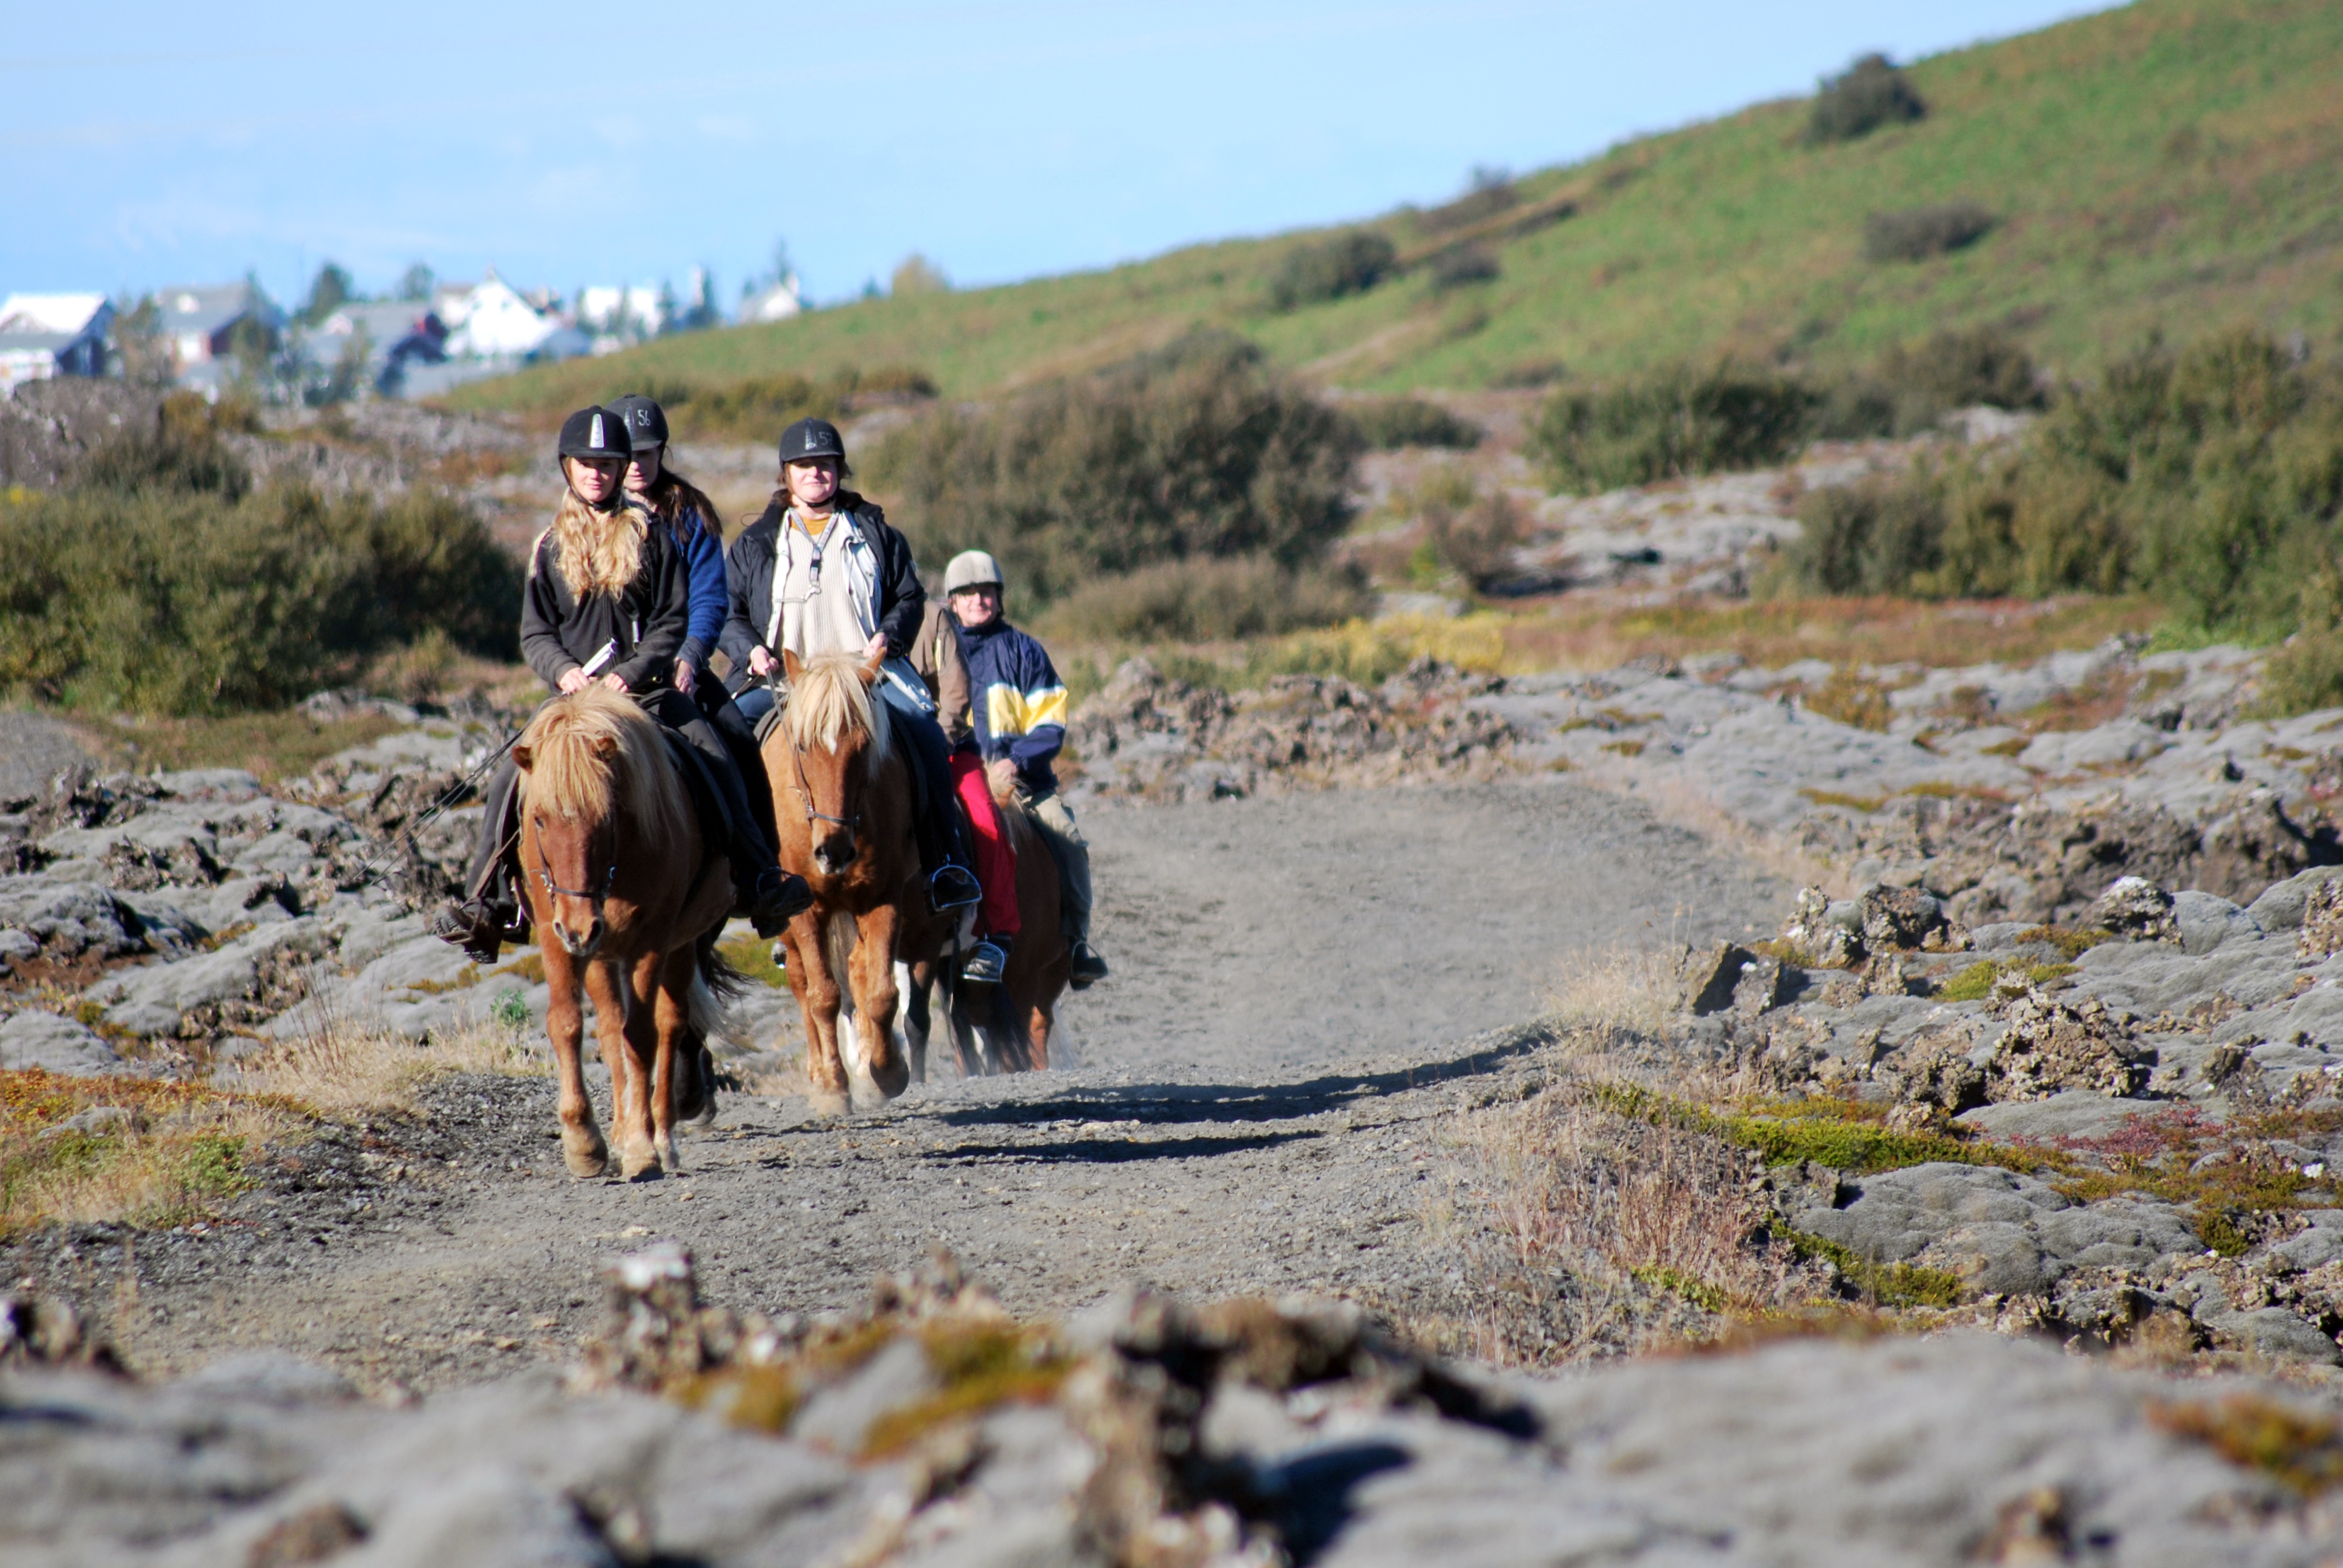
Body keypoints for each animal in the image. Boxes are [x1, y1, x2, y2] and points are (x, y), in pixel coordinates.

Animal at [513, 689, 731, 1181]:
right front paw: (584, 1142)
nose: (579, 926)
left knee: (670, 1025)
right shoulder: (557, 936)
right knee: (612, 1029)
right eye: (539, 820)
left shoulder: (651, 941)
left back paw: (662, 1135)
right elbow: (569, 1024)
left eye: (607, 815)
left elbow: (643, 1037)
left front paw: (642, 1147)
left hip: (679, 945)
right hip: (600, 953)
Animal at [754, 647, 928, 1111]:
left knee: (859, 972)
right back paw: (820, 1073)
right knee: (802, 982)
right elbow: (823, 996)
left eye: (864, 746)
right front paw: (833, 1087)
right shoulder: (807, 908)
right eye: (801, 745)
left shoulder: (882, 897)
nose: (833, 852)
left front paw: (886, 1073)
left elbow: (882, 993)